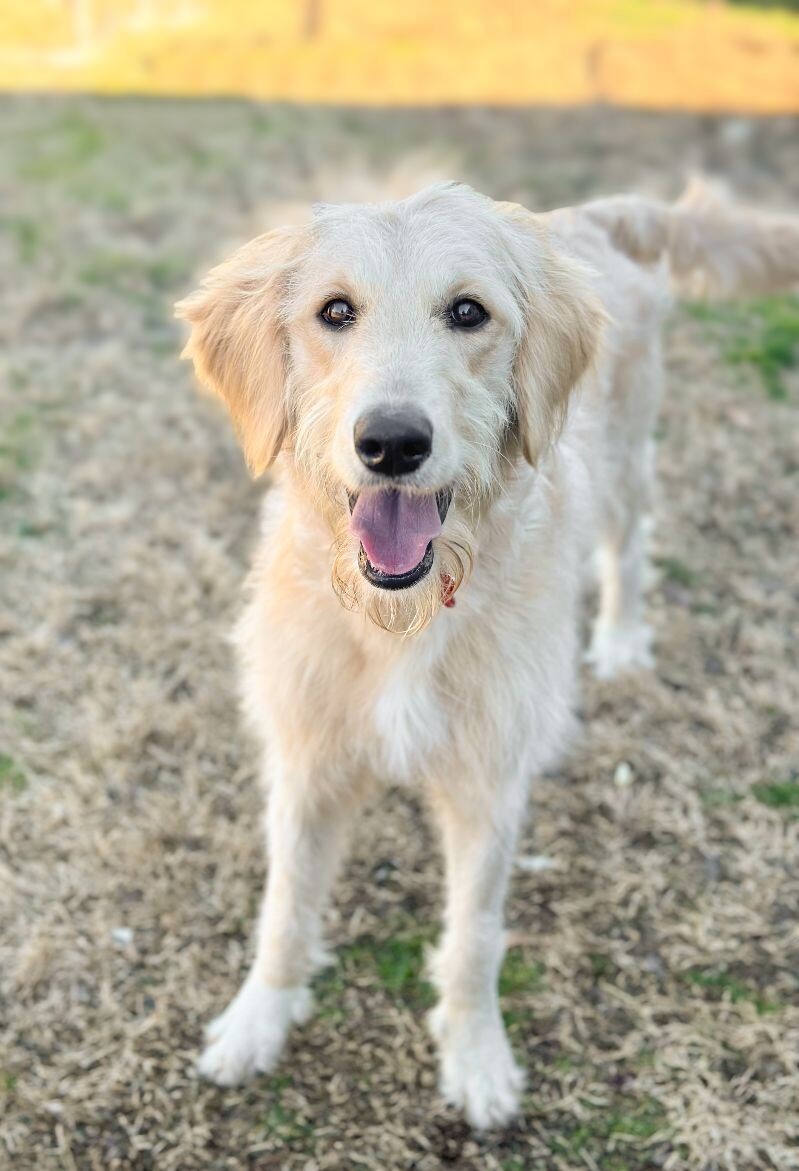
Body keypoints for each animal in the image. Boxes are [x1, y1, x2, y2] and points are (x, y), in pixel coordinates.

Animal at [175, 180, 796, 1124]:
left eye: (468, 311)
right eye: (334, 311)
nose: (393, 443)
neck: (399, 620)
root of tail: (598, 213)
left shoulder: (487, 787)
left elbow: (473, 935)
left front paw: (474, 1055)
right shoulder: (306, 762)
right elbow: (284, 908)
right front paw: (257, 1020)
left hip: (626, 463)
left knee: (631, 542)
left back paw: (620, 640)